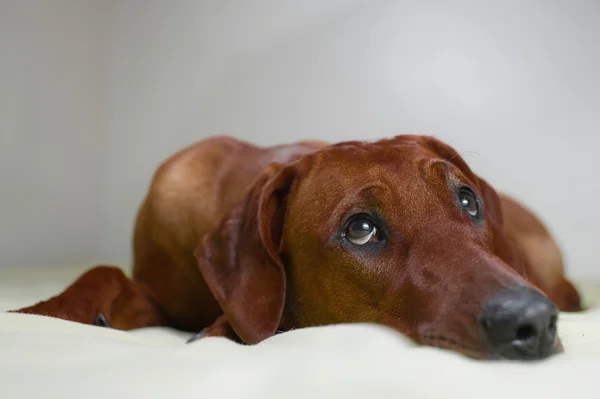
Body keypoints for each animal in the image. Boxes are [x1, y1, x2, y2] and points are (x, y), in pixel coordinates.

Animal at [16, 136, 584, 360]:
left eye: (467, 200)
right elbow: (103, 272)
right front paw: (48, 310)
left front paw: (220, 328)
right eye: (360, 229)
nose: (533, 321)